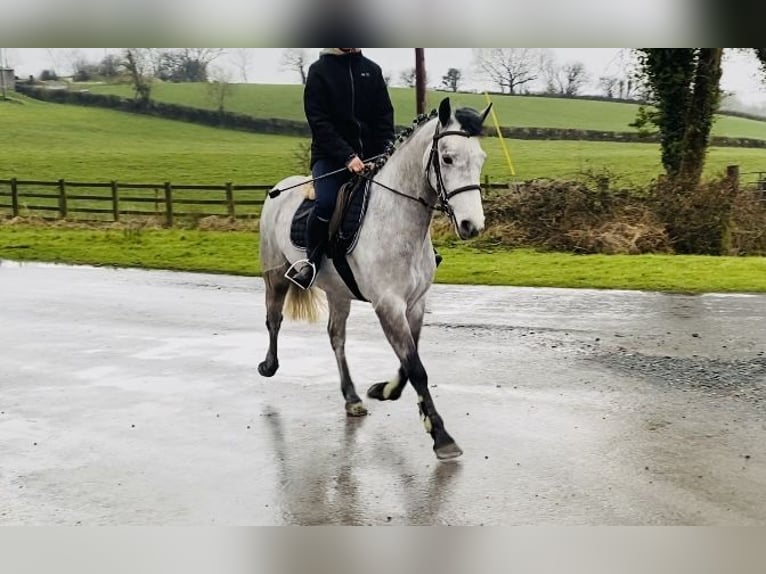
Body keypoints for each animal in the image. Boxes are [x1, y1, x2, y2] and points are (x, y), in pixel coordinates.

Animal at [258, 97, 492, 462]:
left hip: (338, 292)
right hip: (275, 275)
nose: (472, 225)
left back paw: (351, 397)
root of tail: (280, 187)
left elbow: (409, 361)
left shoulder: (414, 304)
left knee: (336, 337)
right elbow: (416, 367)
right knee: (274, 318)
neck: (397, 220)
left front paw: (384, 391)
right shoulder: (388, 305)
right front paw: (441, 436)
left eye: (480, 159)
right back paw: (269, 365)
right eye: (447, 157)